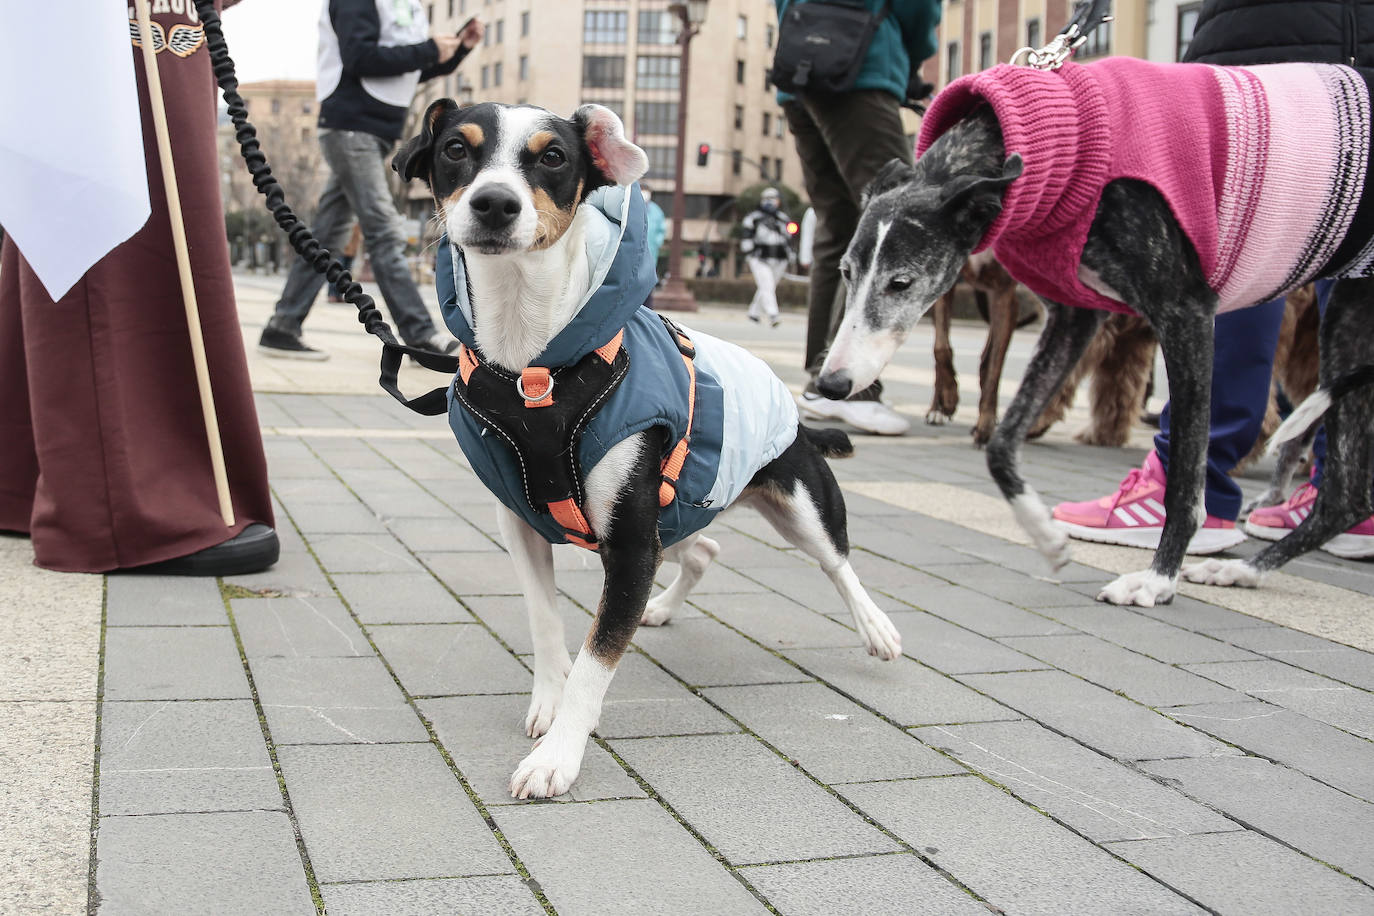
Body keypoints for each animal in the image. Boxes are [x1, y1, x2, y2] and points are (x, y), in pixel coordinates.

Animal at [392, 103, 901, 796]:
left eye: (554, 157)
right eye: (454, 149)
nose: (495, 202)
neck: (534, 367)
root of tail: (795, 412)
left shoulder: (632, 547)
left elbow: (596, 657)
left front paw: (558, 755)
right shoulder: (524, 526)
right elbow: (547, 623)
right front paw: (548, 702)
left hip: (796, 501)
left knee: (837, 562)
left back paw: (875, 627)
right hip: (675, 513)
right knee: (705, 549)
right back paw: (661, 609)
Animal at [813, 59, 1374, 609]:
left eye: (901, 282)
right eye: (846, 272)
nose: (830, 384)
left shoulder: (1188, 313)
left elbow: (1185, 477)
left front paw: (1158, 579)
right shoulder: (1074, 316)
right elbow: (1001, 443)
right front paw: (1046, 536)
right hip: (1347, 319)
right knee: (1344, 496)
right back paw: (1245, 570)